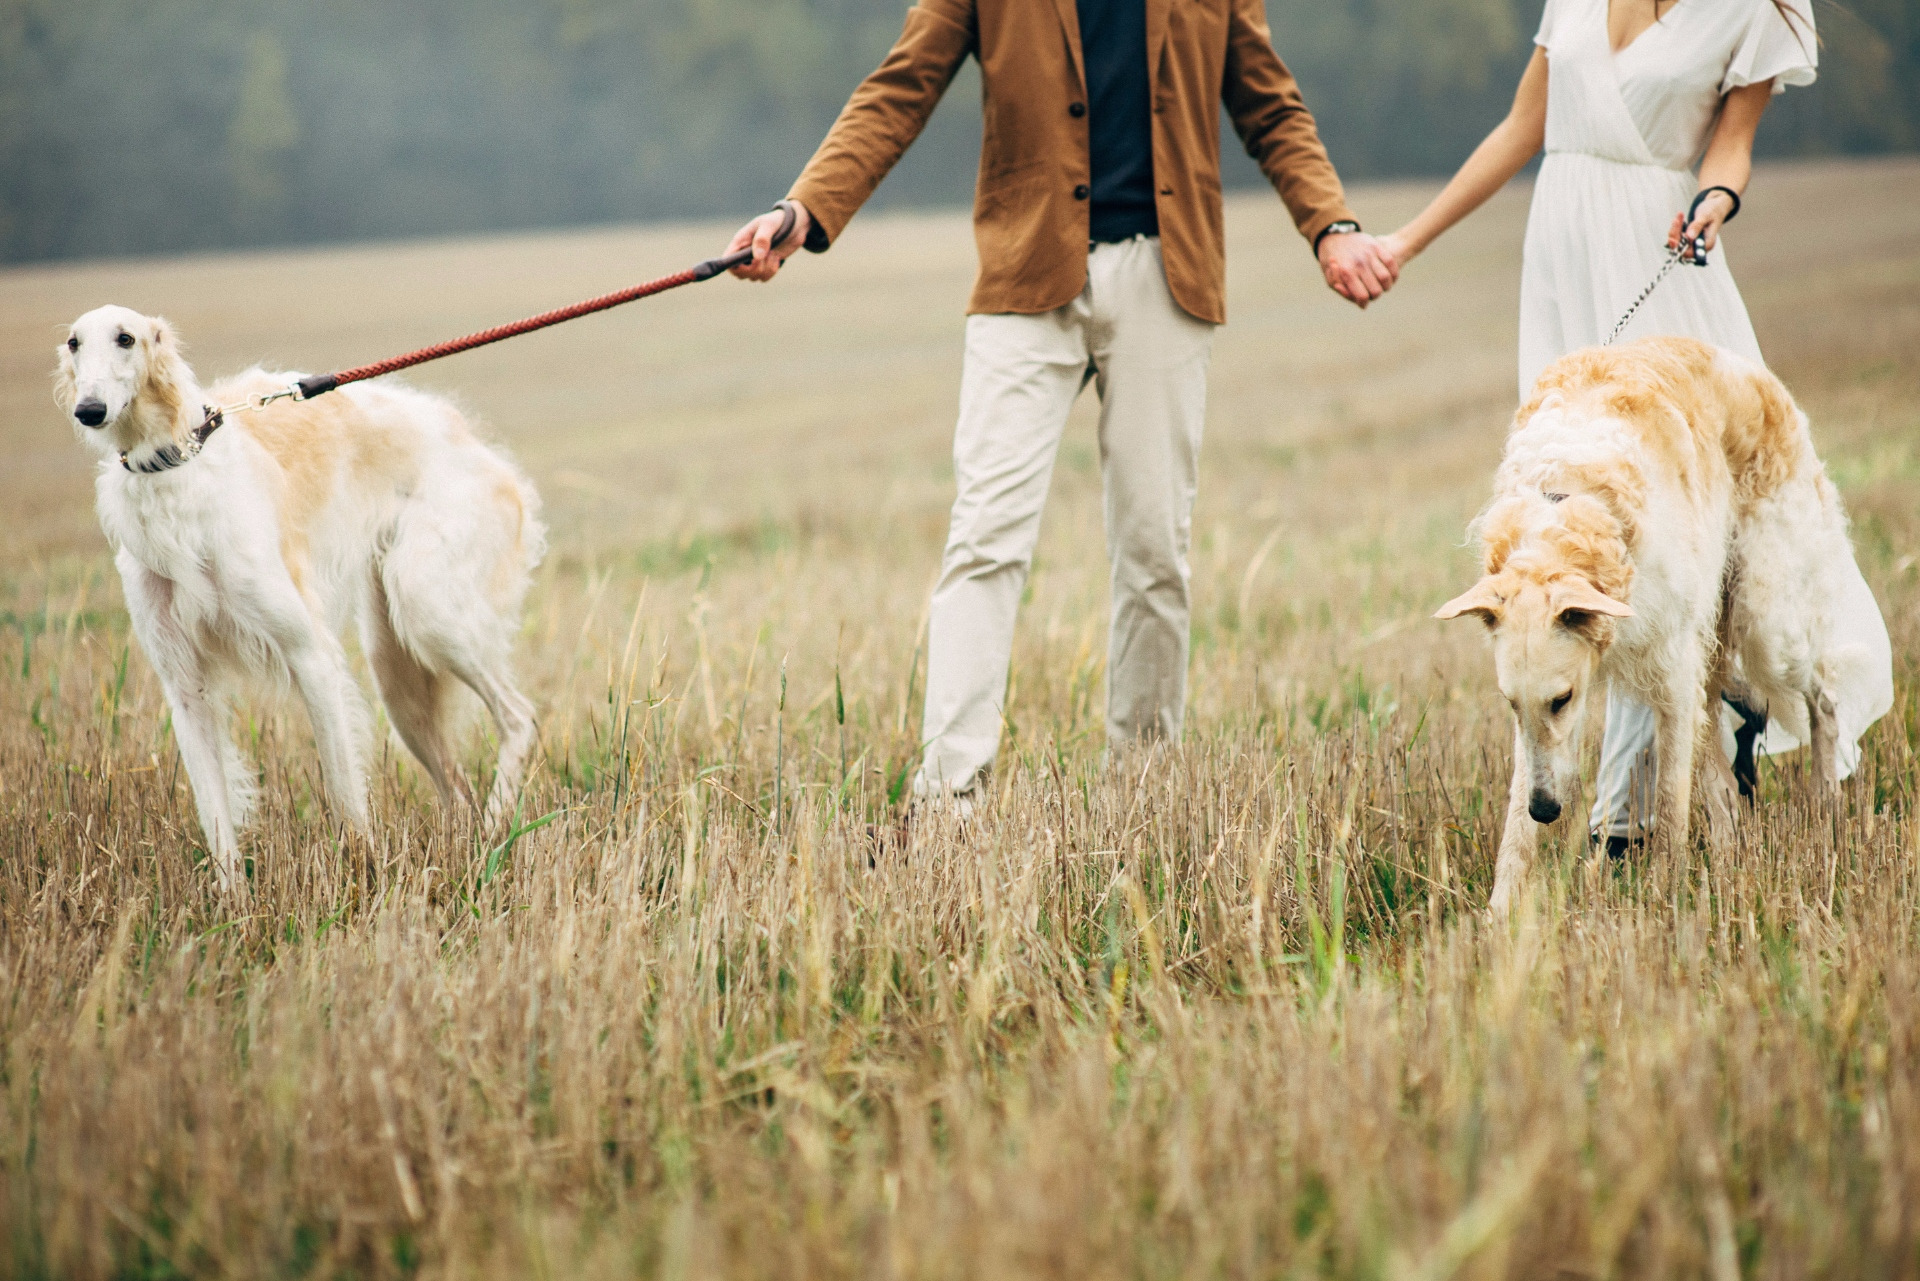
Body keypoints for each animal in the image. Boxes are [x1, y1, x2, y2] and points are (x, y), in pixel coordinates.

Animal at [54, 309, 549, 891]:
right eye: (74, 343)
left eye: (126, 338)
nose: (89, 410)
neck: (176, 466)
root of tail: (475, 443)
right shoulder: (184, 687)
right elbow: (216, 818)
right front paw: (235, 903)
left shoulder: (310, 654)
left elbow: (345, 796)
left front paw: (361, 884)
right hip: (396, 674)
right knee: (456, 784)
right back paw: (469, 849)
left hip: (427, 611)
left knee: (519, 717)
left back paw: (497, 832)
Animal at [1443, 330, 1866, 910]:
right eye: (1509, 703)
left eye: (1563, 700)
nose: (1546, 810)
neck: (1566, 500)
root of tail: (1752, 372)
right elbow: (1516, 825)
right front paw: (1499, 911)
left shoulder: (1670, 668)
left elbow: (1669, 802)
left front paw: (1667, 895)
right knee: (1723, 756)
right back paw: (1734, 846)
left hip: (1767, 618)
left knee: (1821, 698)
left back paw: (1825, 806)